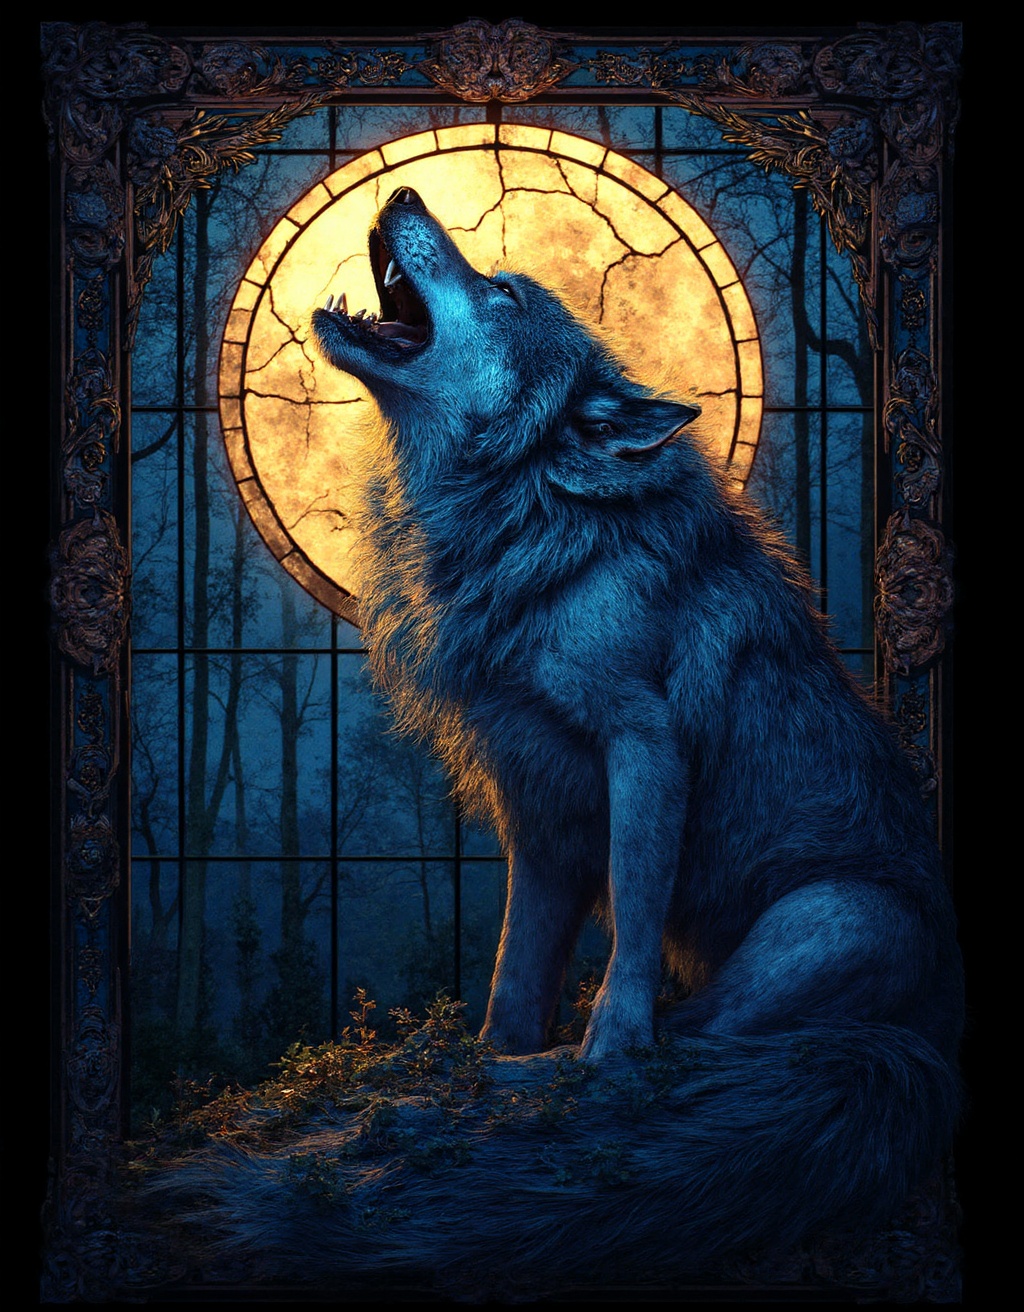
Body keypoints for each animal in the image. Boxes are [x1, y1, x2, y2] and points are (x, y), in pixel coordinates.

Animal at [310, 186, 962, 1278]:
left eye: (504, 292)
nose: (400, 191)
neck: (520, 519)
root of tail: (937, 1045)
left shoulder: (644, 749)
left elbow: (629, 959)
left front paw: (584, 1057)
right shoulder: (533, 807)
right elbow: (515, 969)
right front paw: (492, 1050)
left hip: (841, 913)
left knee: (705, 1042)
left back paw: (546, 1076)